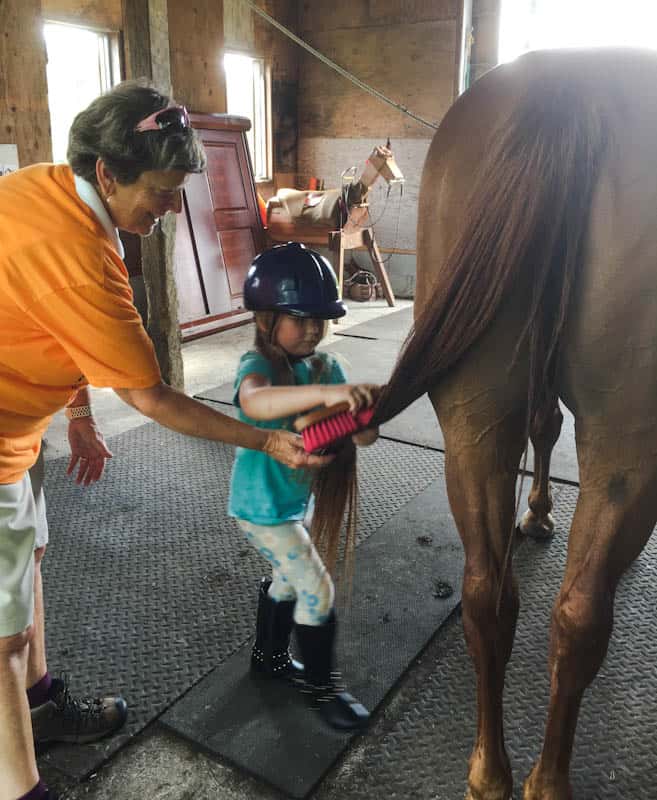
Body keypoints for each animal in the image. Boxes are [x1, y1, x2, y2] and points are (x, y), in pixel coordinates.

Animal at [368, 50, 656, 800]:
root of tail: (571, 78)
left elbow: (542, 423)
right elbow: (549, 427)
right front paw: (542, 514)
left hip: (474, 423)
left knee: (491, 598)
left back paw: (489, 774)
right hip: (630, 443)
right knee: (581, 614)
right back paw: (546, 781)